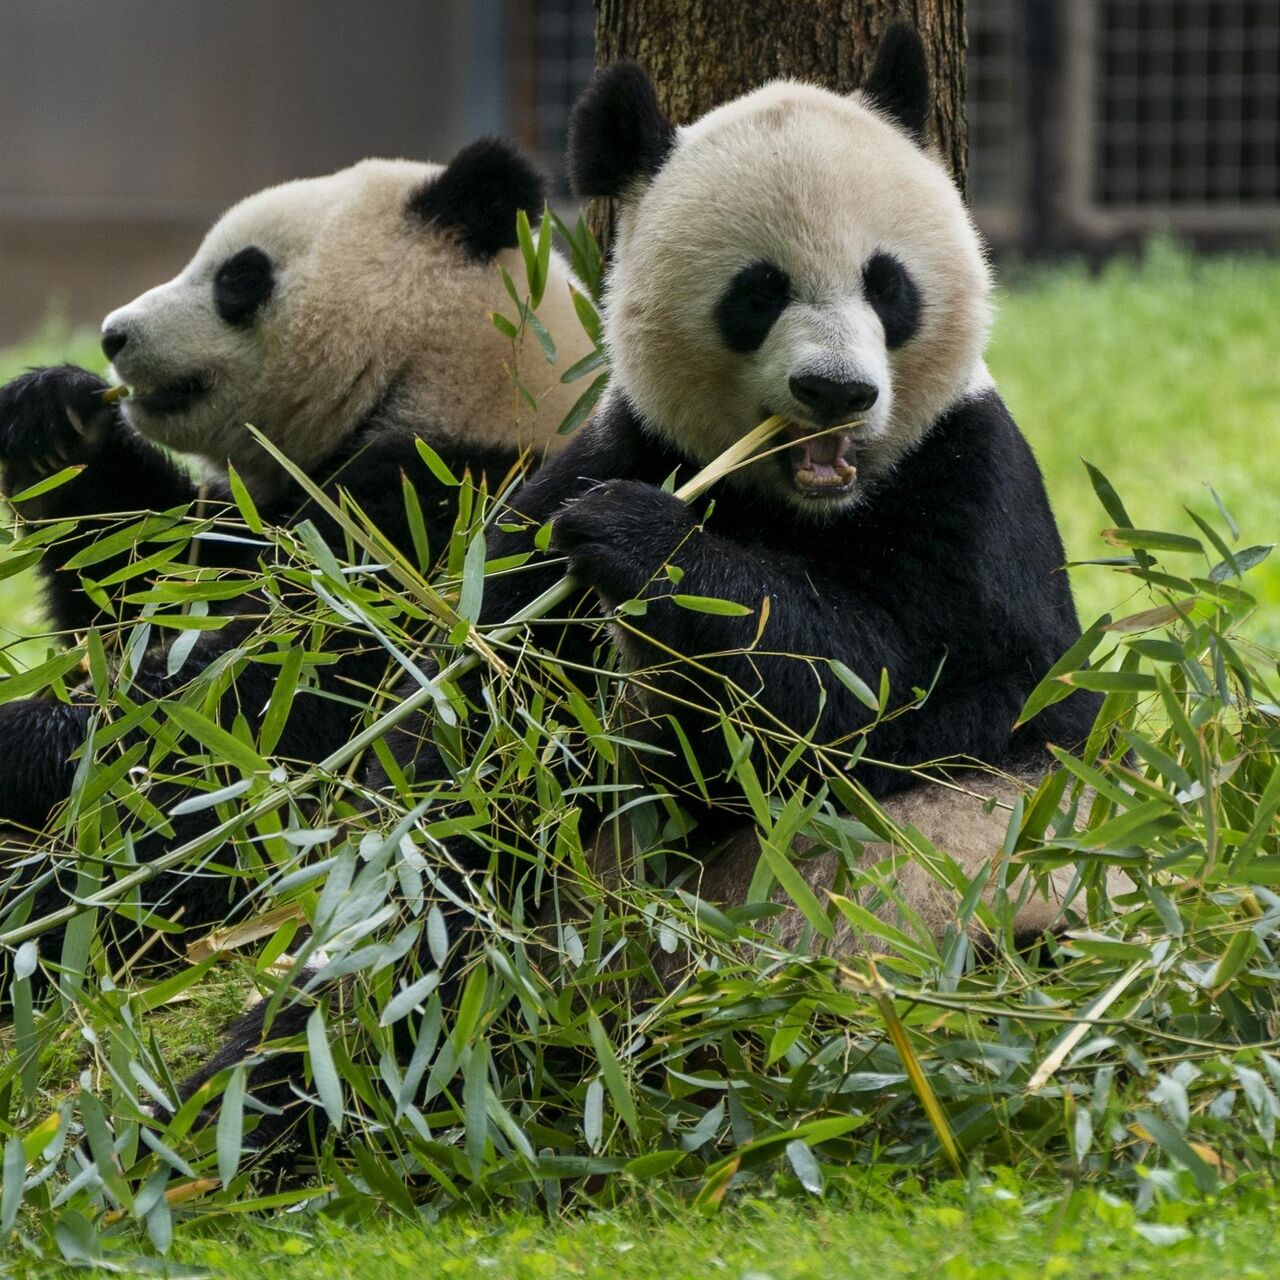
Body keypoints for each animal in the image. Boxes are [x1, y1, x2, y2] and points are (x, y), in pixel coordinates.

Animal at [0, 137, 588, 977]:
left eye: (238, 278)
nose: (112, 334)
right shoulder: (259, 517)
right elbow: (141, 589)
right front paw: (54, 421)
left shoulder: (441, 516)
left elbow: (259, 707)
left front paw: (29, 738)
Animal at [175, 27, 1105, 1162]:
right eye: (758, 292)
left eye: (888, 286)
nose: (836, 392)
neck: (795, 503)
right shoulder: (589, 470)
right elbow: (484, 750)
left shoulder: (974, 493)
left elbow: (899, 698)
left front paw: (645, 545)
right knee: (415, 970)